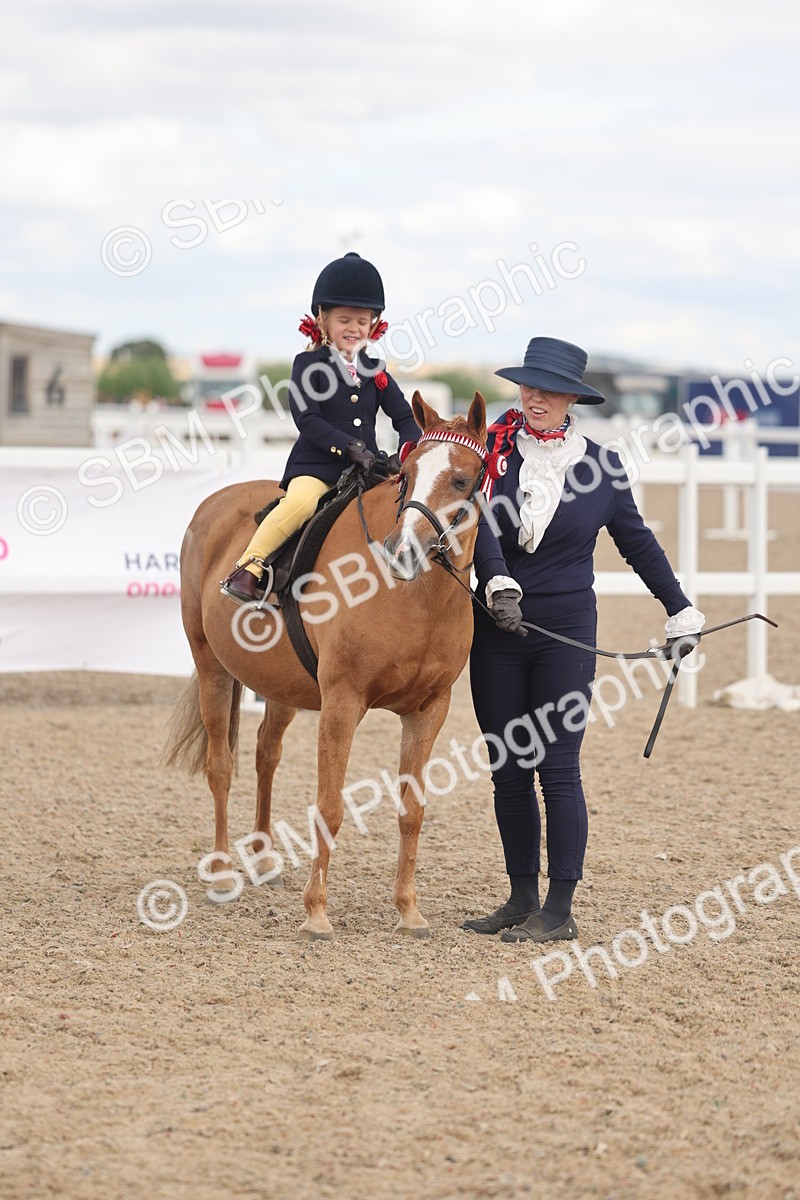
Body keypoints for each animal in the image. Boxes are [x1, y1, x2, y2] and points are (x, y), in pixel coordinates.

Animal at [163, 391, 490, 939]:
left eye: (463, 480)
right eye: (406, 475)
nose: (402, 551)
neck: (415, 598)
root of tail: (214, 503)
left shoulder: (429, 711)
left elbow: (412, 811)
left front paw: (408, 910)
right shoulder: (342, 703)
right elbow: (330, 807)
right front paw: (316, 911)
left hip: (282, 686)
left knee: (265, 755)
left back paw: (263, 859)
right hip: (212, 666)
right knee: (221, 767)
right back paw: (224, 872)